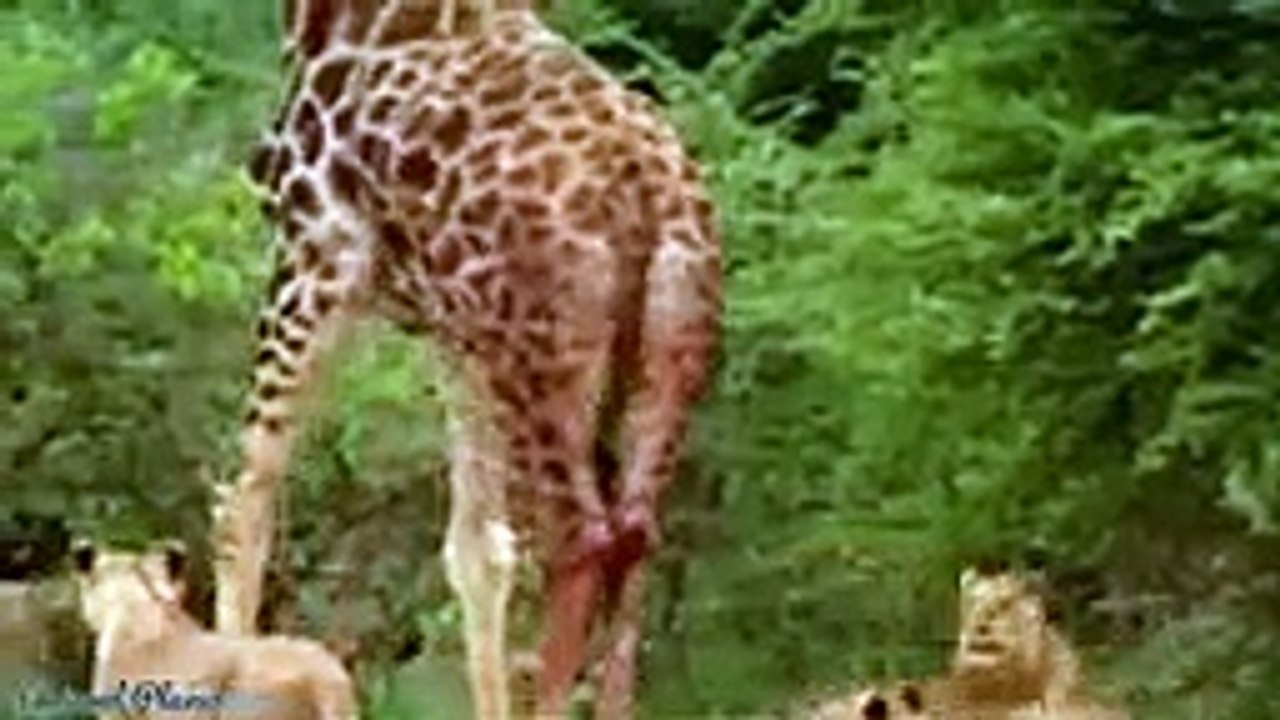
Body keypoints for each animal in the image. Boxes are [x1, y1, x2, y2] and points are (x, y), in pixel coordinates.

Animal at [212, 1, 722, 718]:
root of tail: (643, 194)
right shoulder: (452, 335)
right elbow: (478, 551)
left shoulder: (314, 256)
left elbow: (245, 505)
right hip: (664, 349)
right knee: (634, 534)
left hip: (539, 360)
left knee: (580, 540)